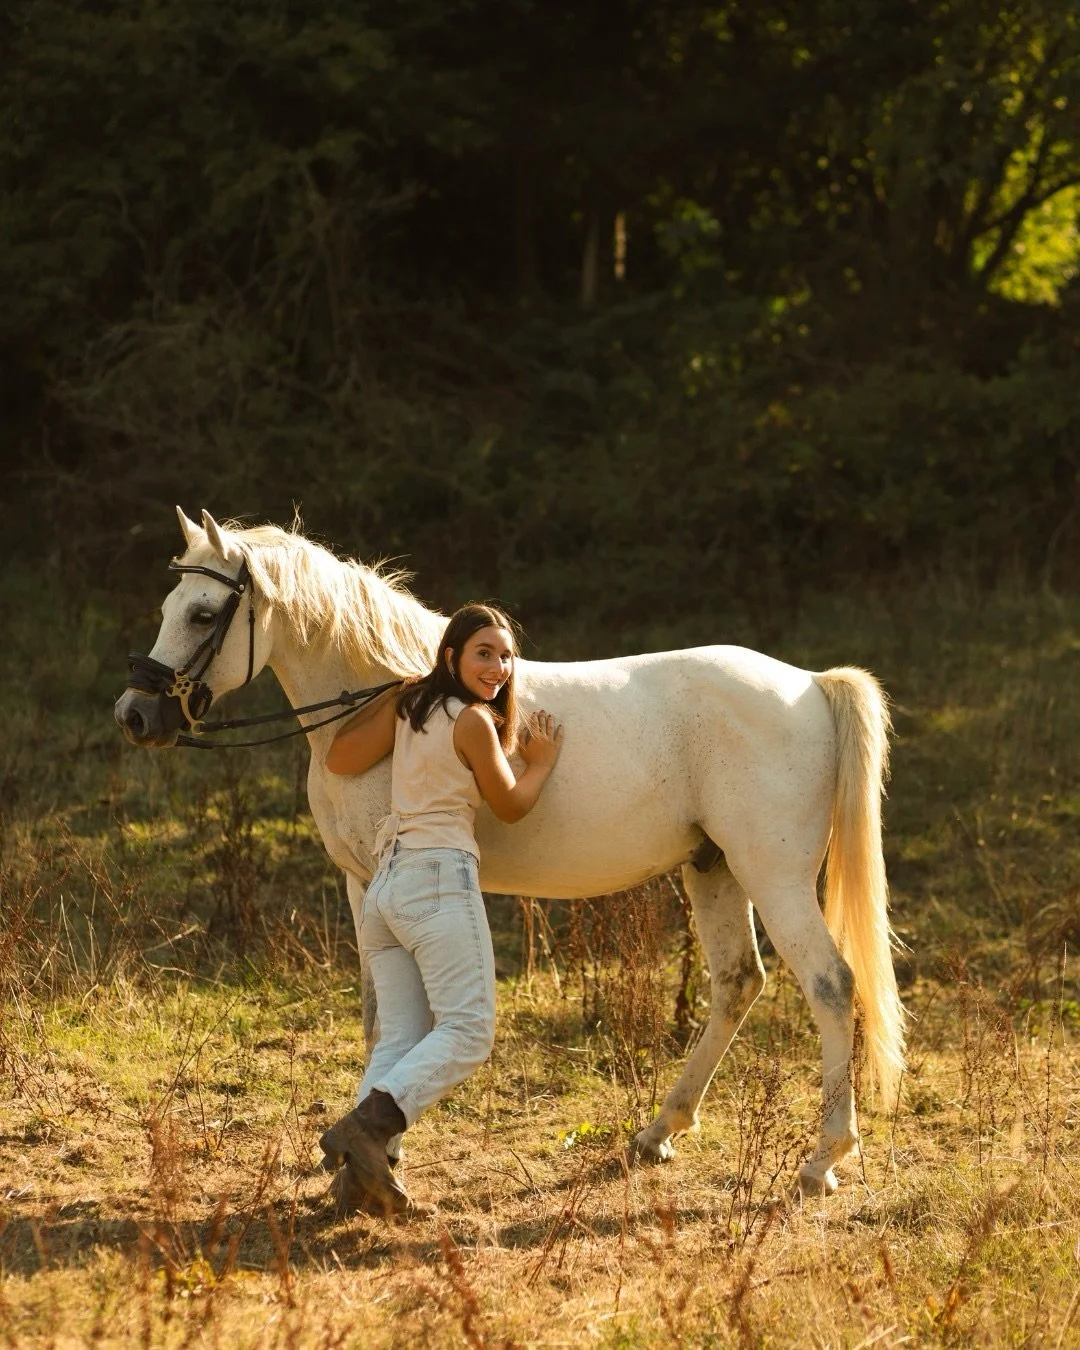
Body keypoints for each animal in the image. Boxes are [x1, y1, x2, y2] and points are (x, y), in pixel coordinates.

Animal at [115, 507, 904, 1199]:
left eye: (204, 614)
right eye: (170, 603)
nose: (136, 714)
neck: (385, 701)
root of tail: (809, 685)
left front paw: (381, 1153)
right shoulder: (360, 885)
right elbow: (379, 1016)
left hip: (774, 878)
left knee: (831, 985)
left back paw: (822, 1159)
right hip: (714, 871)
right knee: (738, 982)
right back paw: (659, 1131)